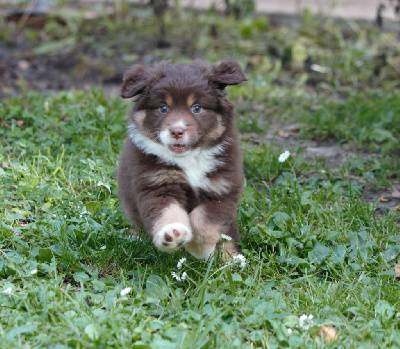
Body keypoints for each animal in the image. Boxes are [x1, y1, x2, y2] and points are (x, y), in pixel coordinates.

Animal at [117, 60, 245, 258]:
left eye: (197, 108)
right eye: (163, 108)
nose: (177, 131)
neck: (189, 158)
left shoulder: (221, 189)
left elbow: (204, 220)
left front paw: (199, 248)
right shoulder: (157, 184)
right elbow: (168, 212)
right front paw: (172, 234)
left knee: (228, 237)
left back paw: (230, 259)